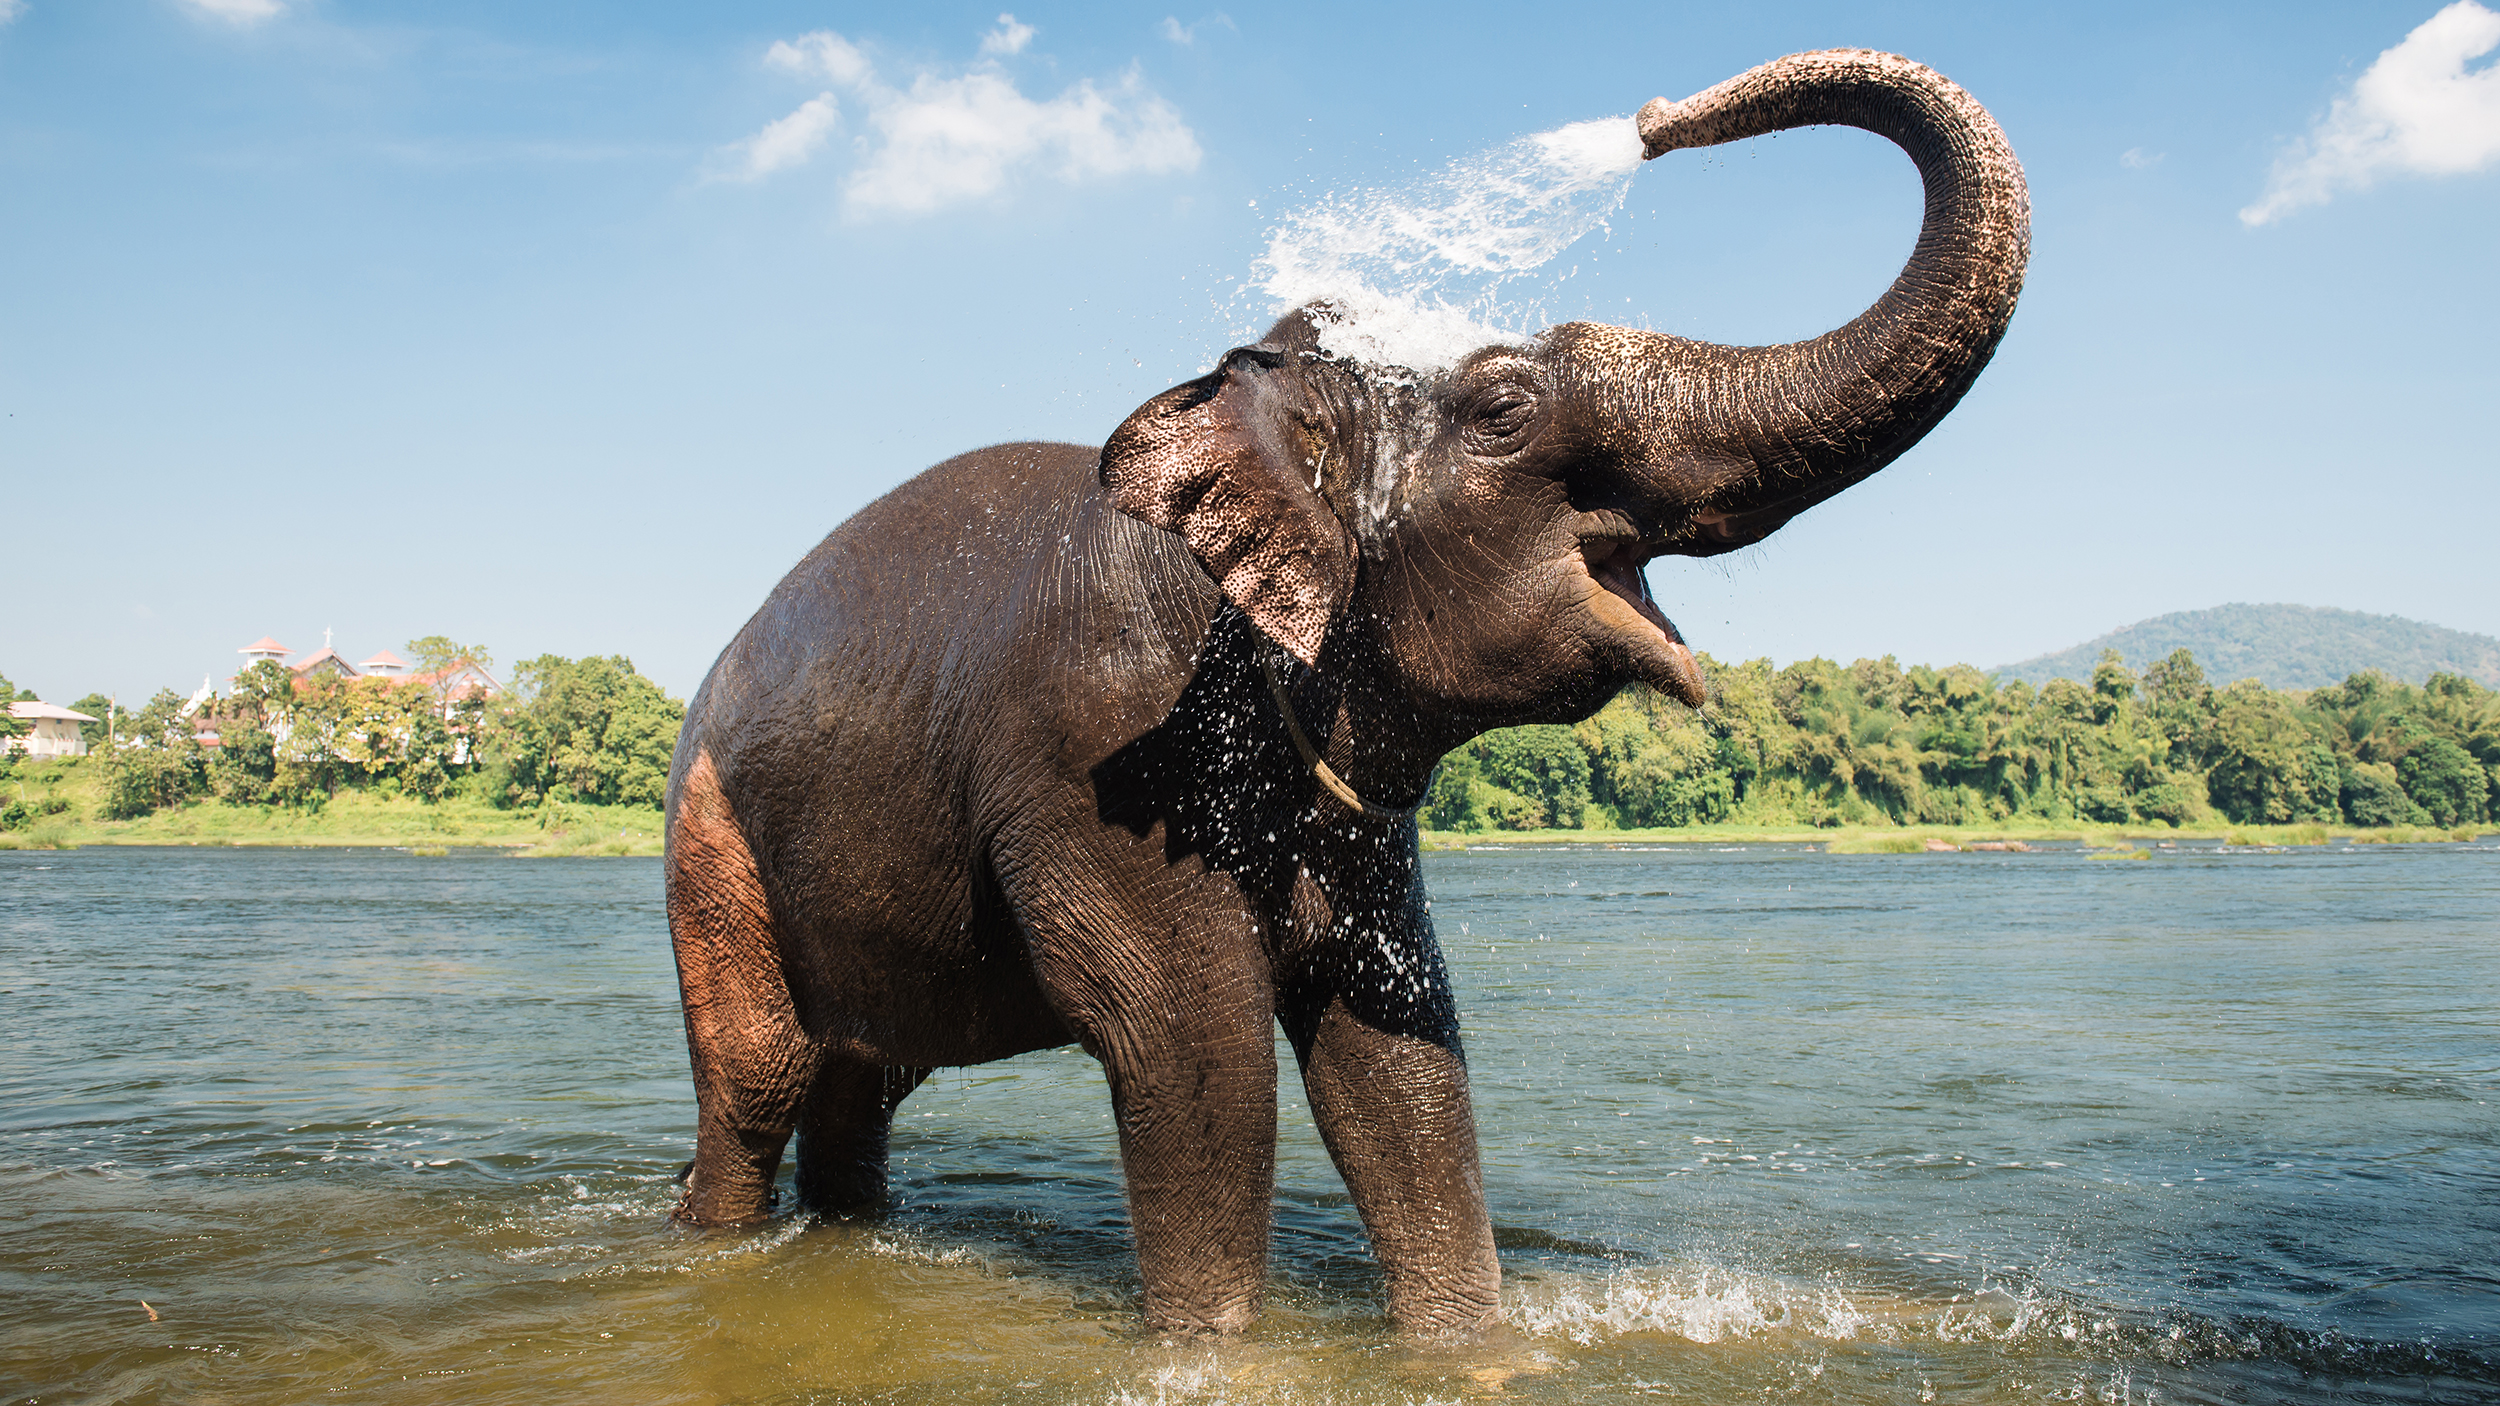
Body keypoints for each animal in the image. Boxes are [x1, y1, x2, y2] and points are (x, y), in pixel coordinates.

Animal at [670, 46, 2030, 1330]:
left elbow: (1393, 1051)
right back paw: (713, 1234)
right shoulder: (1097, 748)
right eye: (1502, 406)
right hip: (708, 837)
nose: (1652, 118)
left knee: (861, 1079)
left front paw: (1469, 1344)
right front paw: (1211, 1350)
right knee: (761, 1079)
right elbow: (1192, 1048)